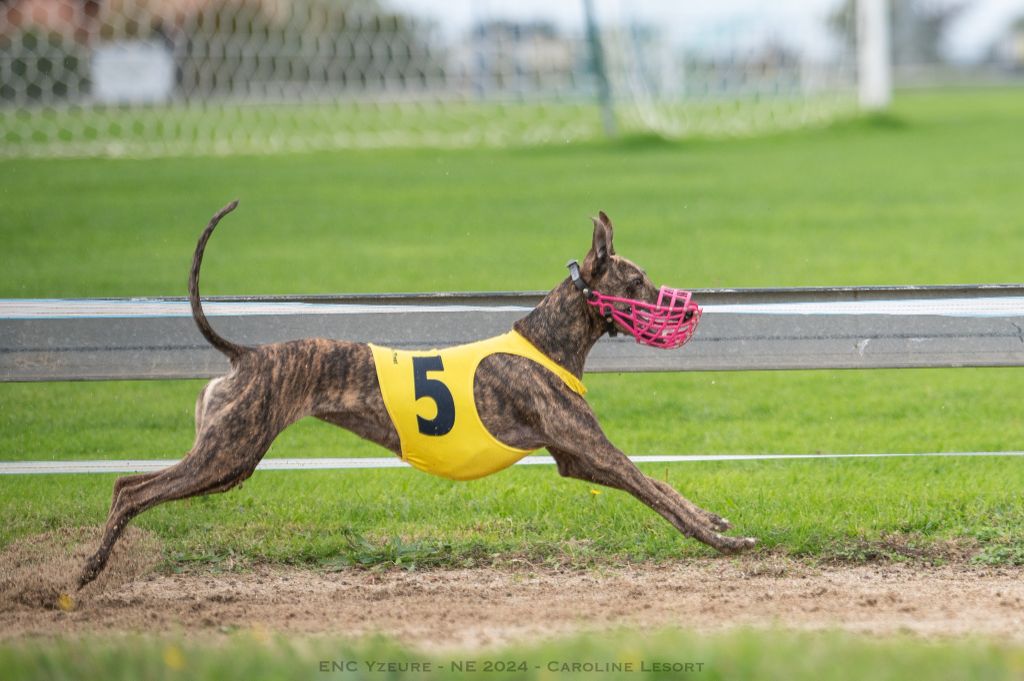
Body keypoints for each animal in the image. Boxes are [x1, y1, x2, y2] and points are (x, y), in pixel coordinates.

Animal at [77, 200, 753, 585]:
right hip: (230, 450)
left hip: (230, 460)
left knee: (133, 486)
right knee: (129, 488)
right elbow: (656, 489)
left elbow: (659, 485)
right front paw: (725, 539)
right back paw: (88, 569)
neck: (547, 338)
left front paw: (718, 520)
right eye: (637, 280)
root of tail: (248, 355)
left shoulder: (576, 458)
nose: (691, 308)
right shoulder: (593, 449)